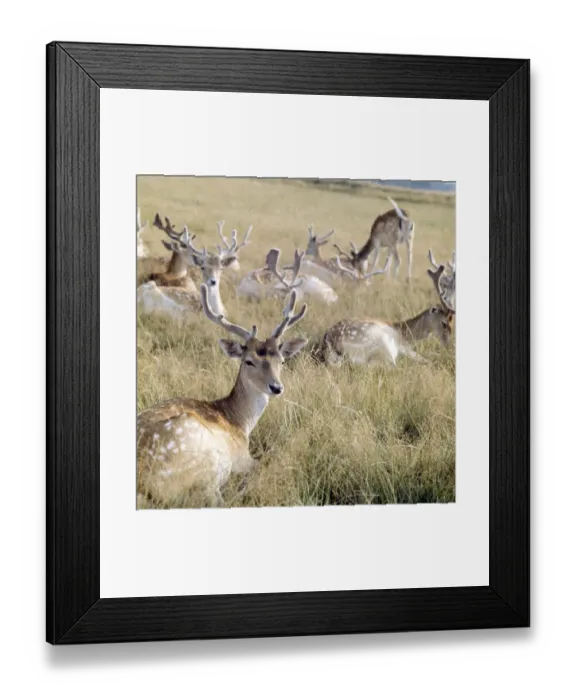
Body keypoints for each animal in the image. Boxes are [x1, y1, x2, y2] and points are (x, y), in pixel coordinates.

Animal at [137, 285, 308, 507]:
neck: (240, 422)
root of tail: (144, 488)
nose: (276, 387)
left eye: (282, 361)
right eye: (248, 361)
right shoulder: (243, 457)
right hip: (205, 465)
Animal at [316, 262, 455, 367]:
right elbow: (425, 358)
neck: (404, 332)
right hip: (382, 344)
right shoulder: (402, 347)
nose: (448, 344)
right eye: (443, 323)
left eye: (452, 322)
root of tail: (329, 343)